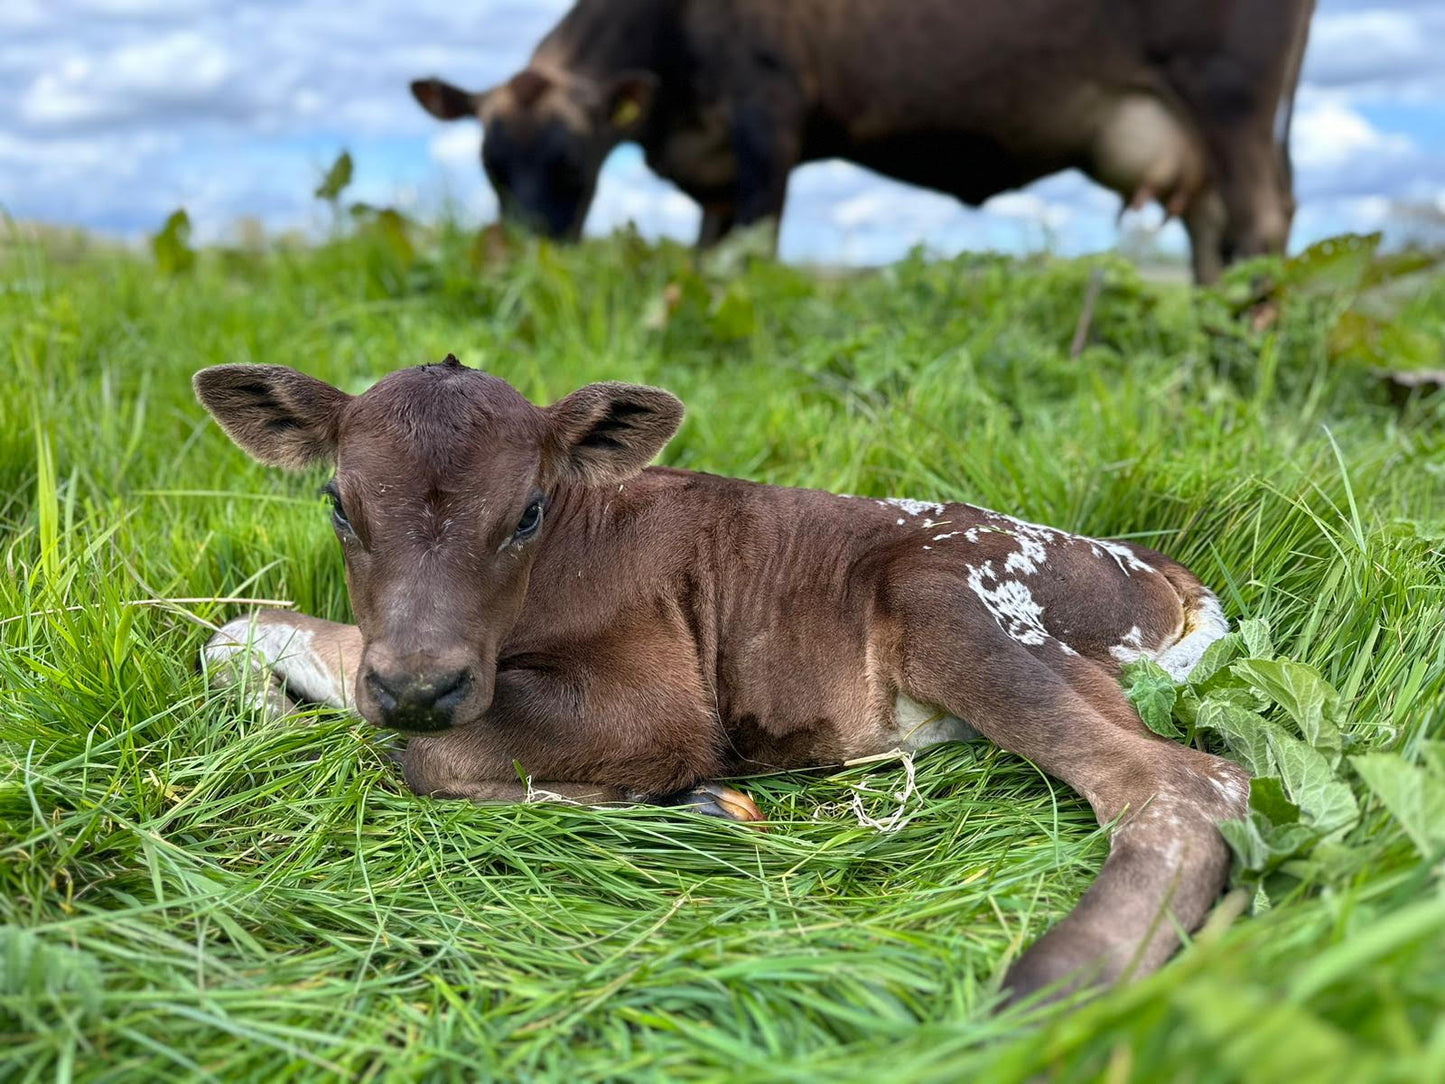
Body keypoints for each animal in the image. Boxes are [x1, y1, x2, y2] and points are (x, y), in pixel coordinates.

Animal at [195, 358, 1254, 1011]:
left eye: (528, 510)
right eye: (338, 502)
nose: (419, 683)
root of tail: (1160, 569)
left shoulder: (662, 704)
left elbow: (428, 762)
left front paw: (690, 799)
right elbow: (241, 628)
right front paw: (267, 717)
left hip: (951, 604)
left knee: (1185, 780)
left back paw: (1055, 982)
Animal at [413, 0, 1317, 284]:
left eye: (571, 164)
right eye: (490, 168)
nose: (525, 259)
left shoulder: (766, 117)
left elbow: (756, 246)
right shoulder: (714, 169)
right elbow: (709, 259)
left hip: (1229, 98)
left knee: (1260, 222)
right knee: (1214, 239)